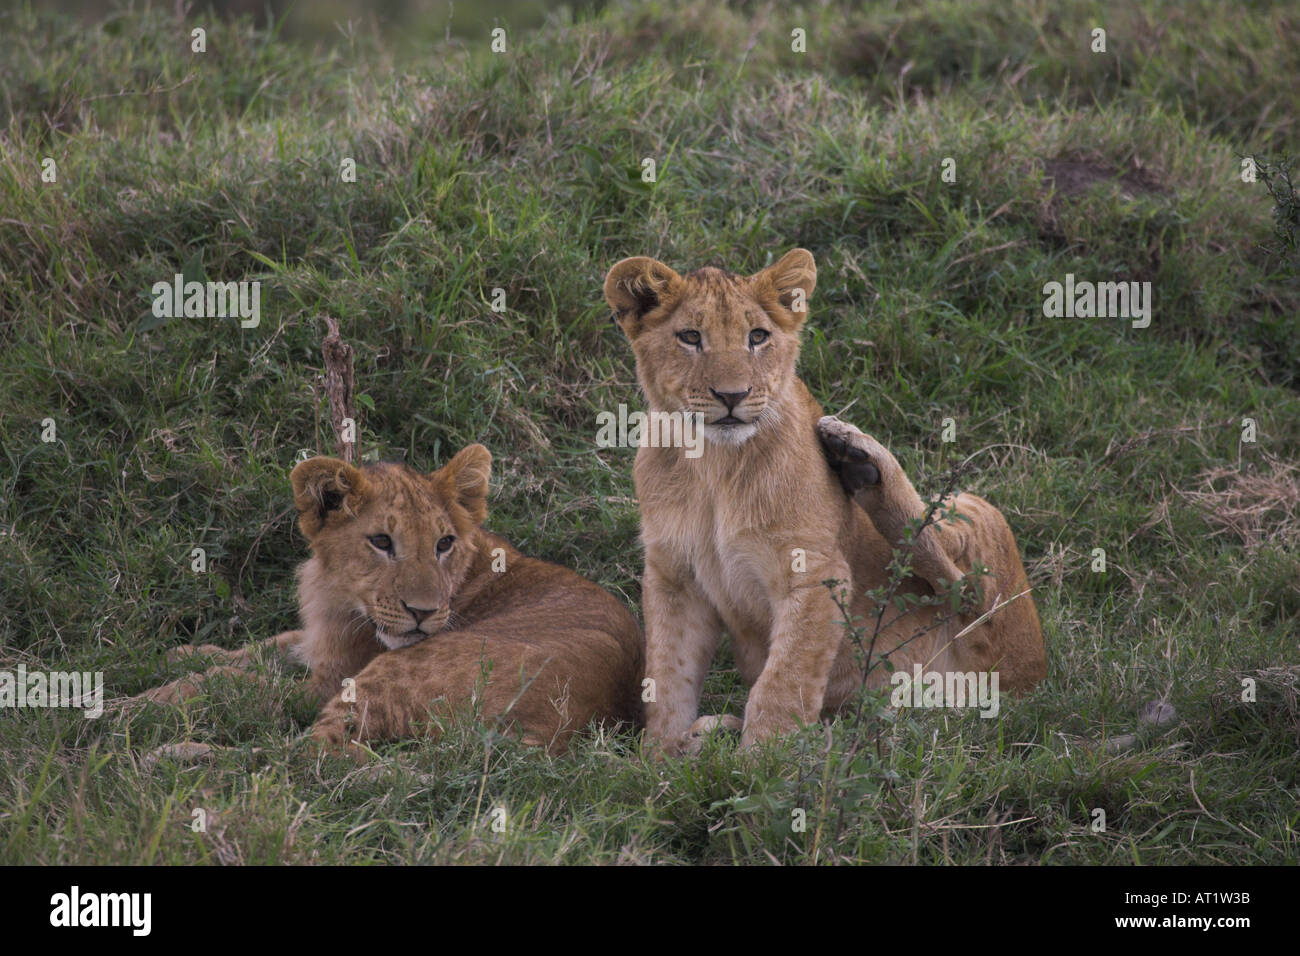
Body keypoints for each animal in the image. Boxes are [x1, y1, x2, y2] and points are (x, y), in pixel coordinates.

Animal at [135, 444, 645, 757]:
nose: (422, 613)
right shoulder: (319, 642)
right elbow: (262, 648)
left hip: (393, 673)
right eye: (381, 541)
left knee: (311, 755)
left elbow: (229, 683)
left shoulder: (331, 678)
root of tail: (557, 734)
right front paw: (176, 655)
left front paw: (143, 699)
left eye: (444, 543)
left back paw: (176, 755)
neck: (339, 595)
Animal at [603, 248, 1046, 755]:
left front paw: (761, 761)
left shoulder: (815, 570)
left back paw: (857, 456)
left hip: (976, 516)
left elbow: (784, 680)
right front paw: (661, 756)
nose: (732, 396)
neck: (712, 465)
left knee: (969, 589)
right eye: (690, 337)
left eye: (758, 337)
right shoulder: (674, 577)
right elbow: (667, 675)